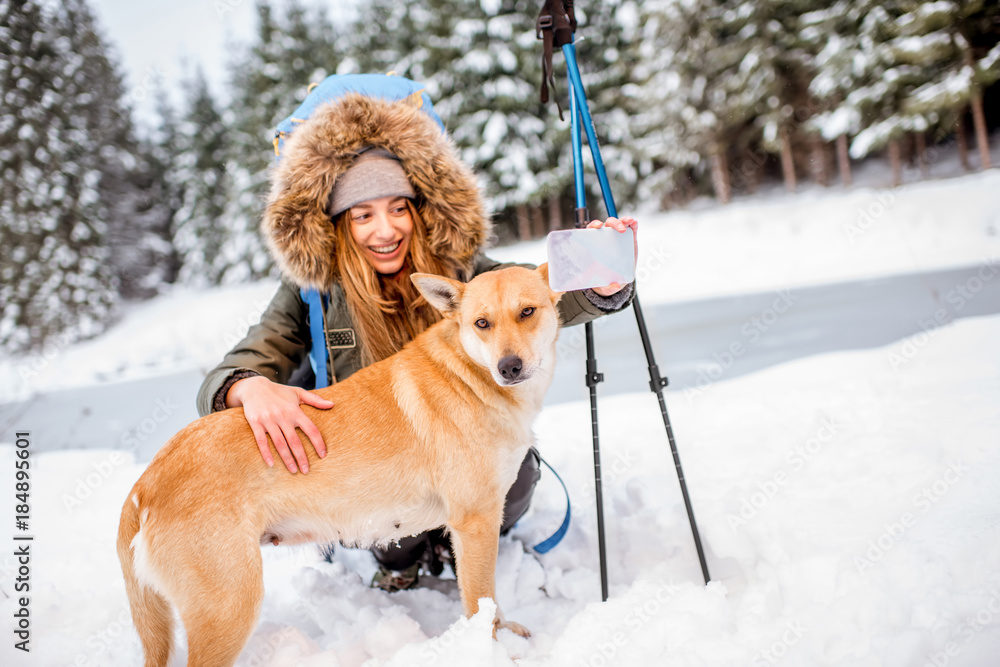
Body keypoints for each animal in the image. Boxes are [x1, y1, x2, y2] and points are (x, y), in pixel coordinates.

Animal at [117, 266, 564, 667]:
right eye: (481, 323)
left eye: (527, 312)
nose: (509, 367)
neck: (471, 375)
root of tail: (144, 484)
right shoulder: (475, 521)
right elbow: (481, 603)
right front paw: (492, 652)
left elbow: (490, 603)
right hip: (230, 609)